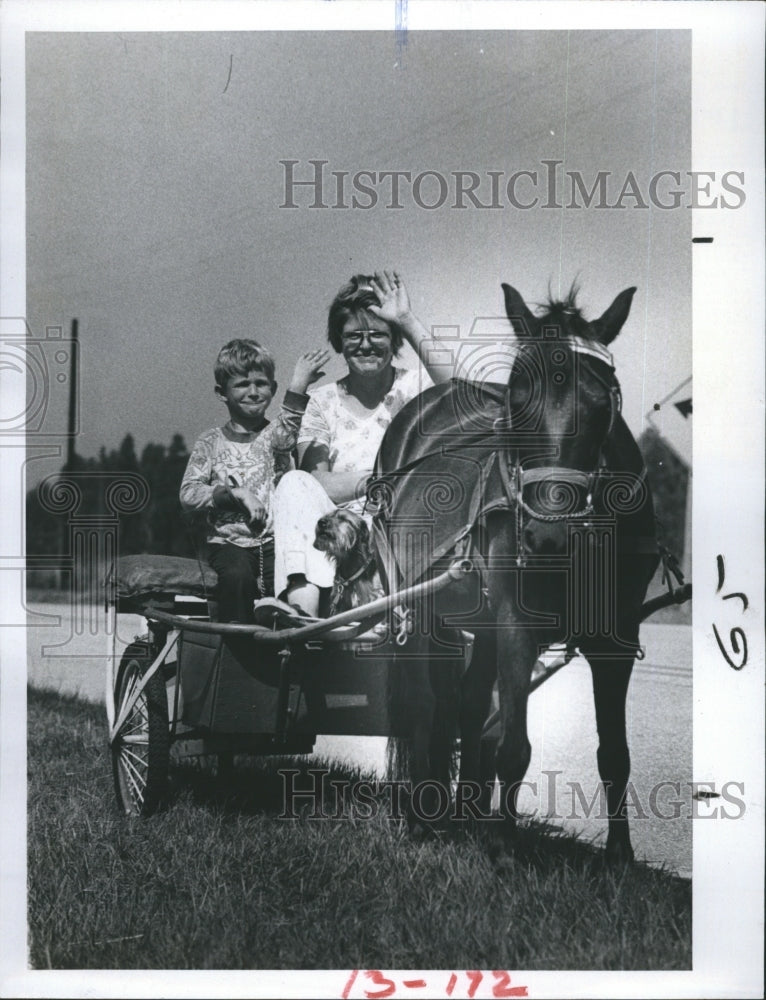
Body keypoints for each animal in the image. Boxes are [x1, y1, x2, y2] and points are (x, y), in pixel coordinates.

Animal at [372, 280, 660, 860]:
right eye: (516, 397)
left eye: (602, 403)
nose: (546, 532)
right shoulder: (515, 625)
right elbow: (512, 746)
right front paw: (503, 845)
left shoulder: (617, 638)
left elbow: (614, 753)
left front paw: (620, 855)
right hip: (416, 605)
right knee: (424, 704)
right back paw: (423, 816)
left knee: (466, 705)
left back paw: (461, 814)